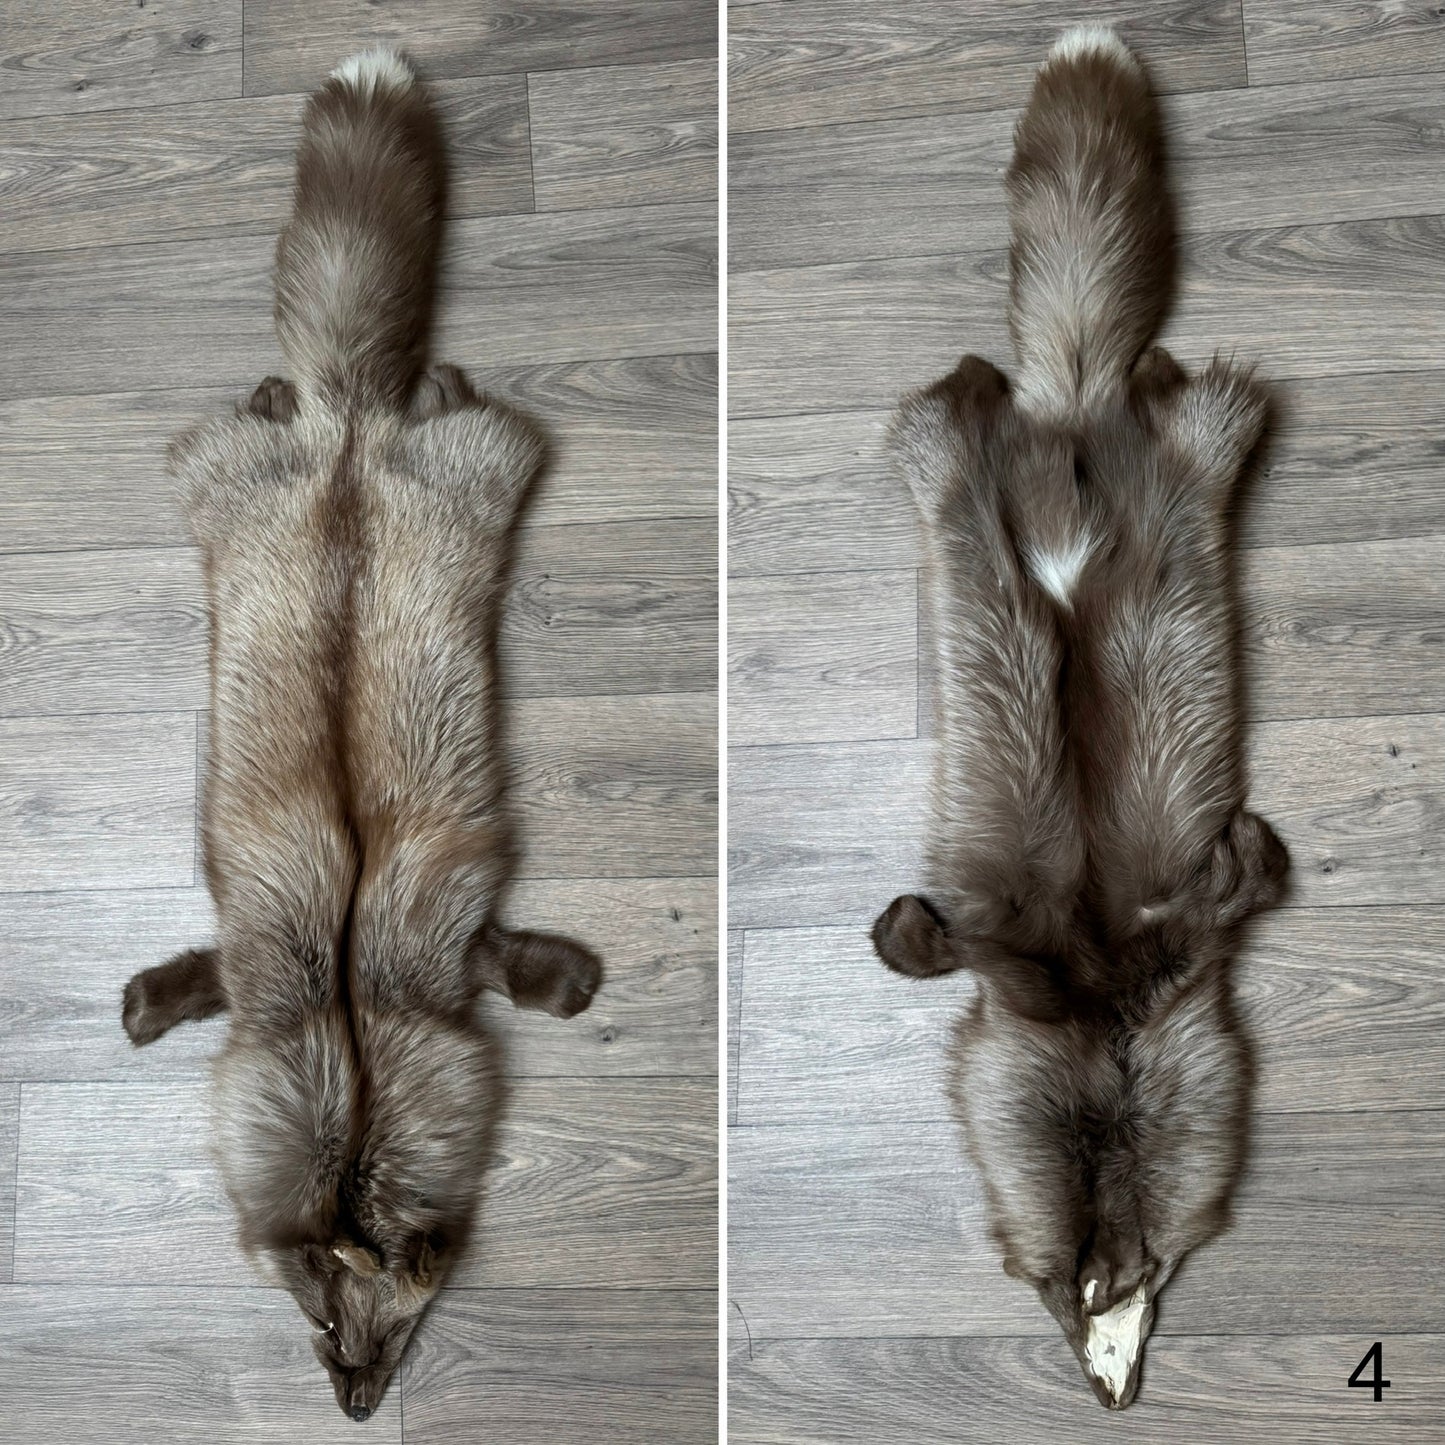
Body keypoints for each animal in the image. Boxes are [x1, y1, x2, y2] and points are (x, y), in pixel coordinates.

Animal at [121, 49, 601, 1421]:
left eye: (377, 1338)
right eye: (323, 1332)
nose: (349, 1408)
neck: (345, 1017)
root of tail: (349, 436)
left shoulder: (453, 953)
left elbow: (519, 962)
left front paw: (567, 980)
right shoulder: (264, 961)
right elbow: (194, 977)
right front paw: (147, 1003)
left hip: (473, 462)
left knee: (448, 402)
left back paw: (389, 384)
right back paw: (305, 387)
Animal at [870, 28, 1288, 1409]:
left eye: (1138, 1291)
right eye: (1074, 1301)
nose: (1116, 1373)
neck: (1107, 1021)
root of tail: (1071, 411)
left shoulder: (1150, 965)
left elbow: (1228, 891)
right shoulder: (1033, 969)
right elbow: (958, 944)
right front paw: (904, 934)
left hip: (1152, 524)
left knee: (1170, 416)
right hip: (999, 546)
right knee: (961, 443)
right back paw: (973, 400)